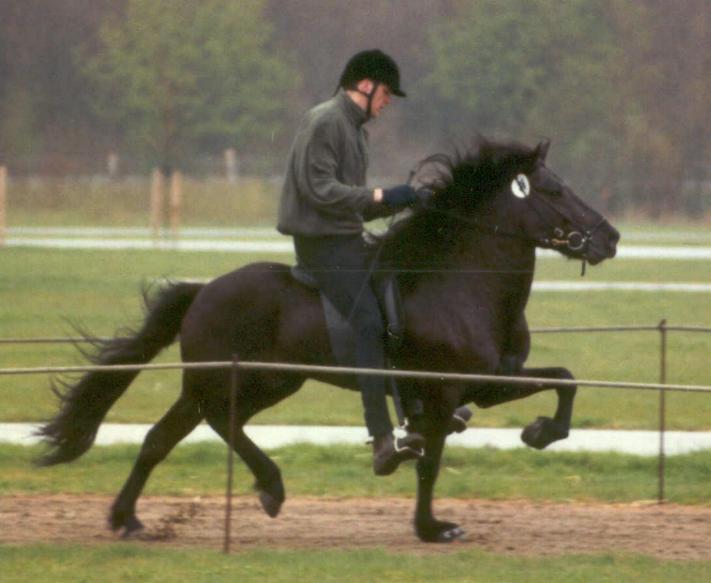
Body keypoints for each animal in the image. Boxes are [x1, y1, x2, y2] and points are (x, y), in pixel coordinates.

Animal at [36, 139, 620, 544]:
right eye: (553, 191)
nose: (610, 238)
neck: (463, 284)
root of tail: (204, 290)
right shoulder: (443, 392)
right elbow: (429, 462)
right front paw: (431, 528)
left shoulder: (490, 382)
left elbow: (566, 381)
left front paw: (541, 432)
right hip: (235, 381)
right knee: (213, 424)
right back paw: (269, 486)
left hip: (257, 384)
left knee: (165, 436)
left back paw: (128, 518)